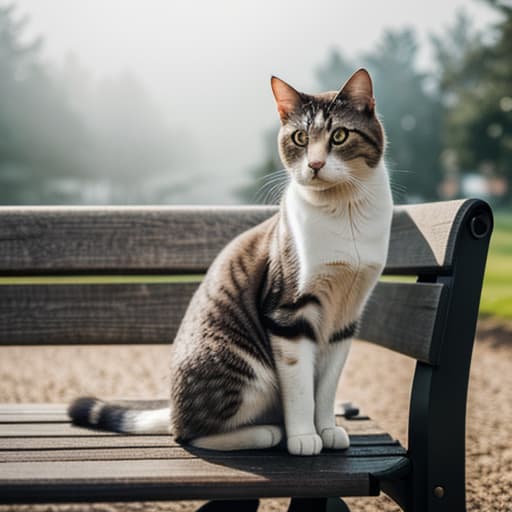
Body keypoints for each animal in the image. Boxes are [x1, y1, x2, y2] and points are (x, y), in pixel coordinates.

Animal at [68, 68, 394, 456]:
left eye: (339, 135)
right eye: (300, 138)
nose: (315, 164)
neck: (344, 212)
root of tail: (174, 408)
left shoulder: (346, 316)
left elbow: (326, 387)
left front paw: (327, 429)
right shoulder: (287, 312)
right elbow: (301, 388)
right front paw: (303, 437)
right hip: (244, 368)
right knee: (188, 434)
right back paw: (268, 433)